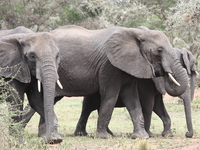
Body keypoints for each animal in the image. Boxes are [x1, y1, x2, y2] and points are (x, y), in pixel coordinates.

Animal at [21, 24, 189, 144]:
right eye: (159, 50)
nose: (188, 134)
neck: (136, 32)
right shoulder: (109, 66)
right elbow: (110, 96)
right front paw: (104, 137)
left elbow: (132, 98)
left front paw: (140, 137)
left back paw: (45, 135)